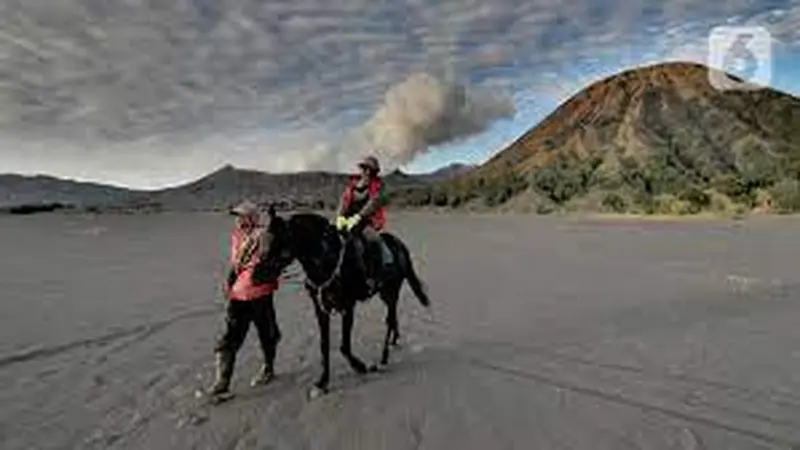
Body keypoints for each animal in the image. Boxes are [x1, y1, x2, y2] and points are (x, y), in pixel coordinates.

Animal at [260, 207, 428, 398]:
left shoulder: (348, 306)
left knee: (390, 319)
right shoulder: (321, 310)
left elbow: (344, 346)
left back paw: (384, 358)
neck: (327, 260)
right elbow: (324, 345)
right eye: (264, 238)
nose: (259, 272)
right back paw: (394, 341)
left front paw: (360, 366)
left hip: (390, 291)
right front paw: (322, 382)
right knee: (393, 318)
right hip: (386, 294)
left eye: (277, 239)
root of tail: (399, 244)